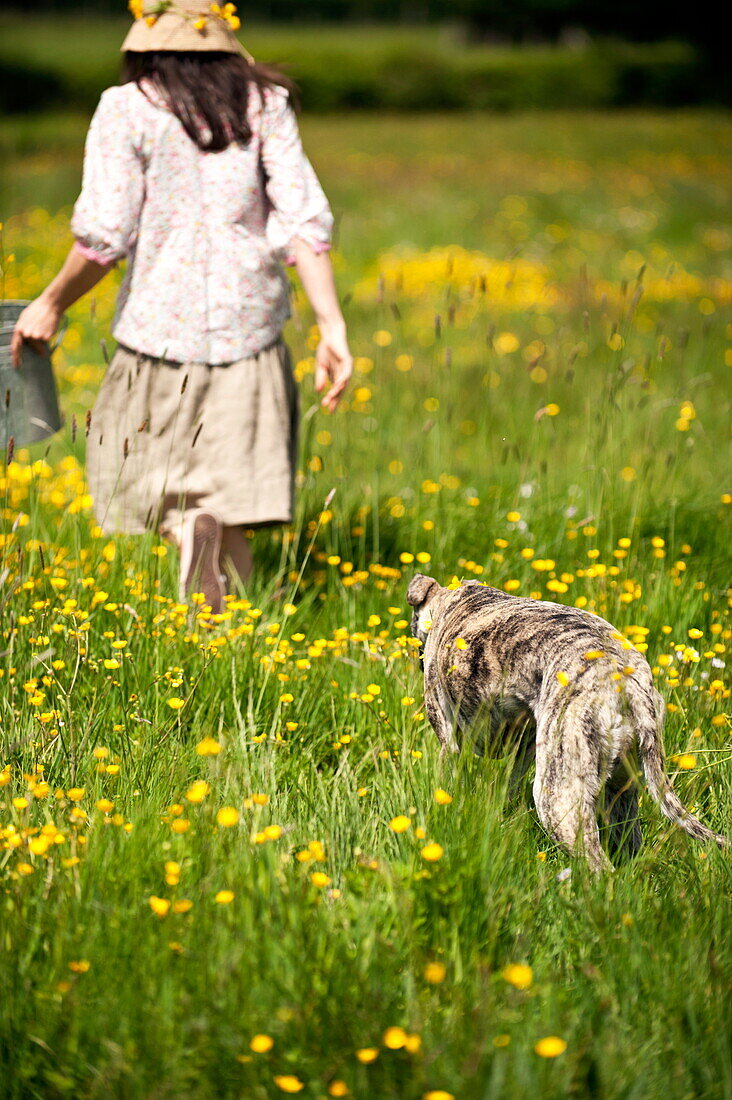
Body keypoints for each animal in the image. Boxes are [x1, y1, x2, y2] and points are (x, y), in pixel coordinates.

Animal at [405, 572, 726, 871]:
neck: (455, 601)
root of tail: (628, 684)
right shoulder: (523, 748)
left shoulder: (448, 737)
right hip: (620, 791)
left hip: (558, 798)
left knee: (600, 867)